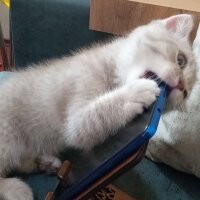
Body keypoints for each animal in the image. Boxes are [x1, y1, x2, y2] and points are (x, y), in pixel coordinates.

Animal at [0, 14, 195, 200]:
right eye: (181, 60)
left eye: (186, 93)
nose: (181, 85)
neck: (113, 67)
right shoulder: (77, 117)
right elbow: (96, 115)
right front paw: (136, 92)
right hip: (8, 139)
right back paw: (17, 189)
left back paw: (44, 162)